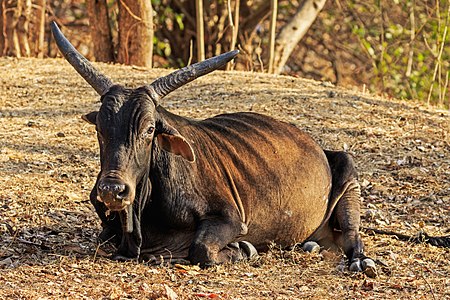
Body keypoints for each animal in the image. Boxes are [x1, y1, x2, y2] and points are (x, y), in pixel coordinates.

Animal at [51, 21, 378, 276]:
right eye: (100, 129)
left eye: (149, 129)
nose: (112, 191)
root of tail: (317, 147)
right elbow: (105, 238)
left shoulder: (231, 219)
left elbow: (202, 249)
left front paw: (244, 250)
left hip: (347, 169)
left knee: (352, 235)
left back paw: (362, 262)